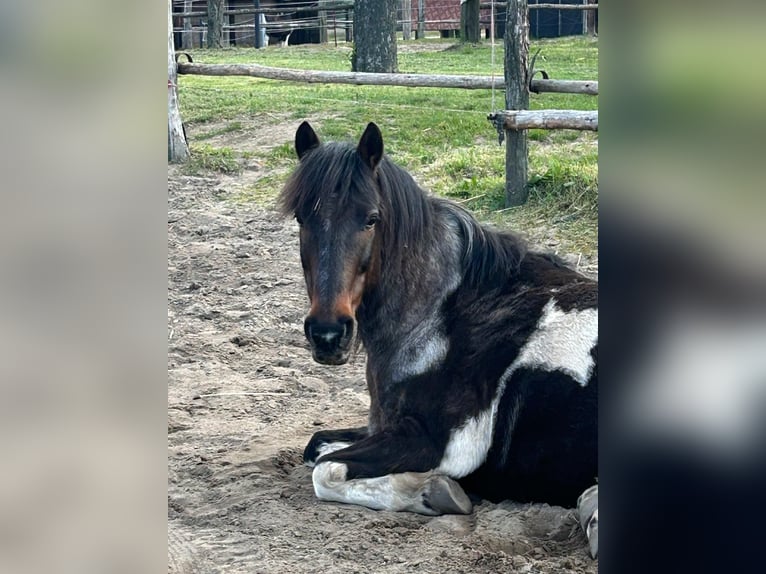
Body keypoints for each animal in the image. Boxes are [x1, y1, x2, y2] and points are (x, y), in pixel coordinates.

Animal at [280, 121, 604, 560]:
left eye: (371, 219)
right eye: (301, 218)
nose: (328, 334)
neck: (441, 317)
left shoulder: (431, 441)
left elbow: (326, 472)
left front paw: (431, 492)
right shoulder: (384, 426)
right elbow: (316, 447)